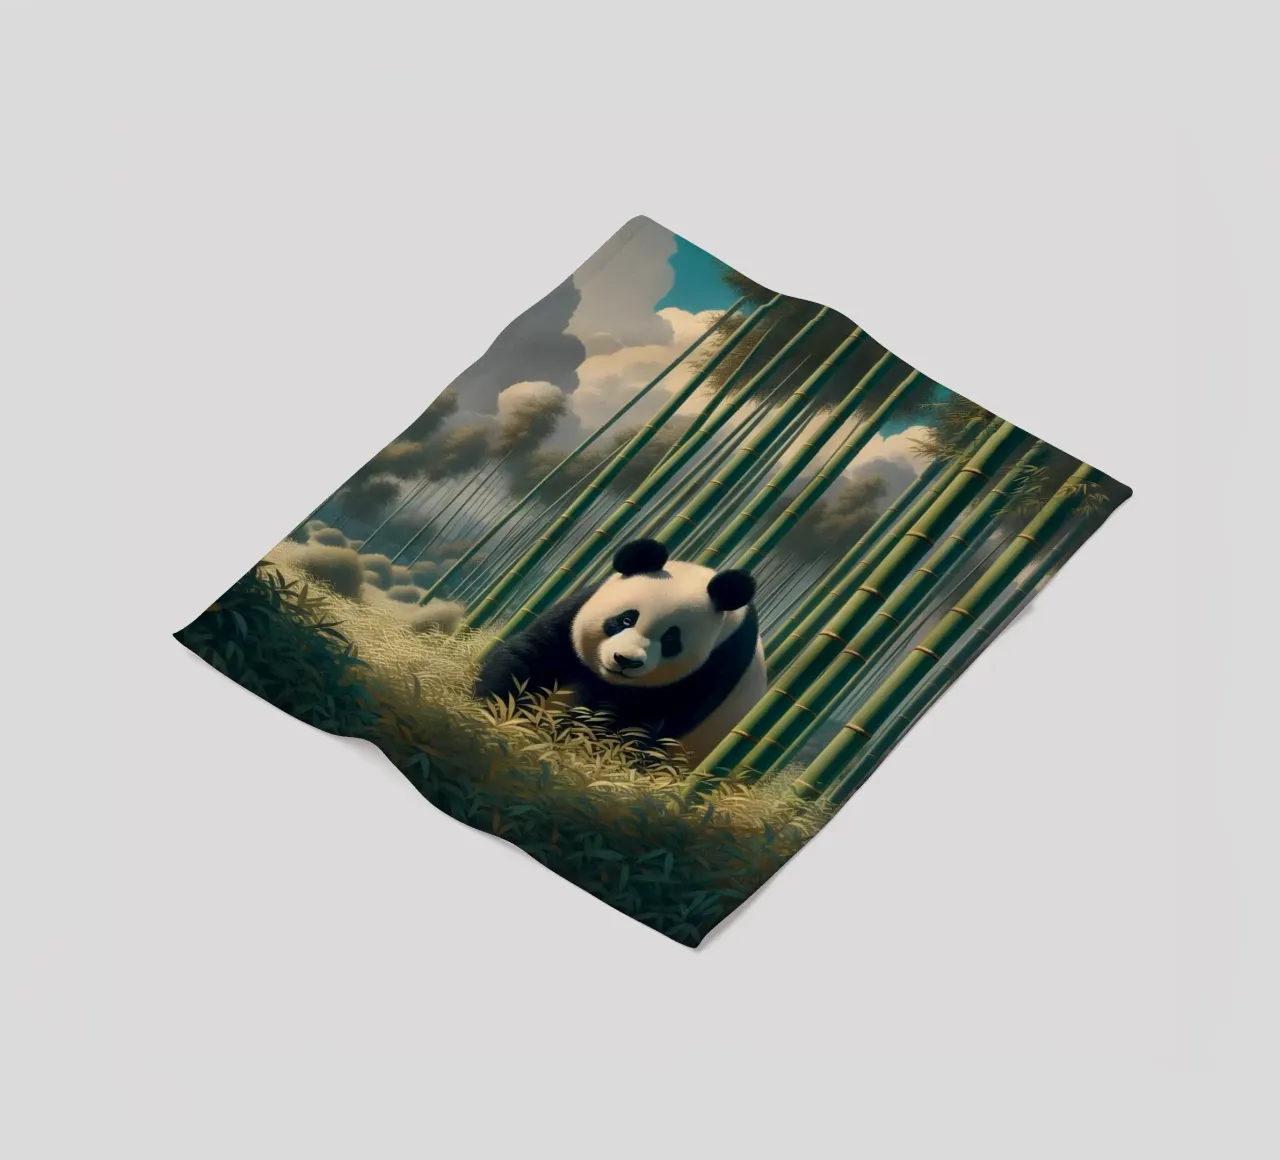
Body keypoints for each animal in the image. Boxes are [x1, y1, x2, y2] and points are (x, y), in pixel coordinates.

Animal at [473, 538, 767, 765]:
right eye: (626, 619)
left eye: (671, 639)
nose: (625, 660)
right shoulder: (578, 609)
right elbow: (534, 654)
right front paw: (493, 709)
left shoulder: (718, 666)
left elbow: (640, 719)